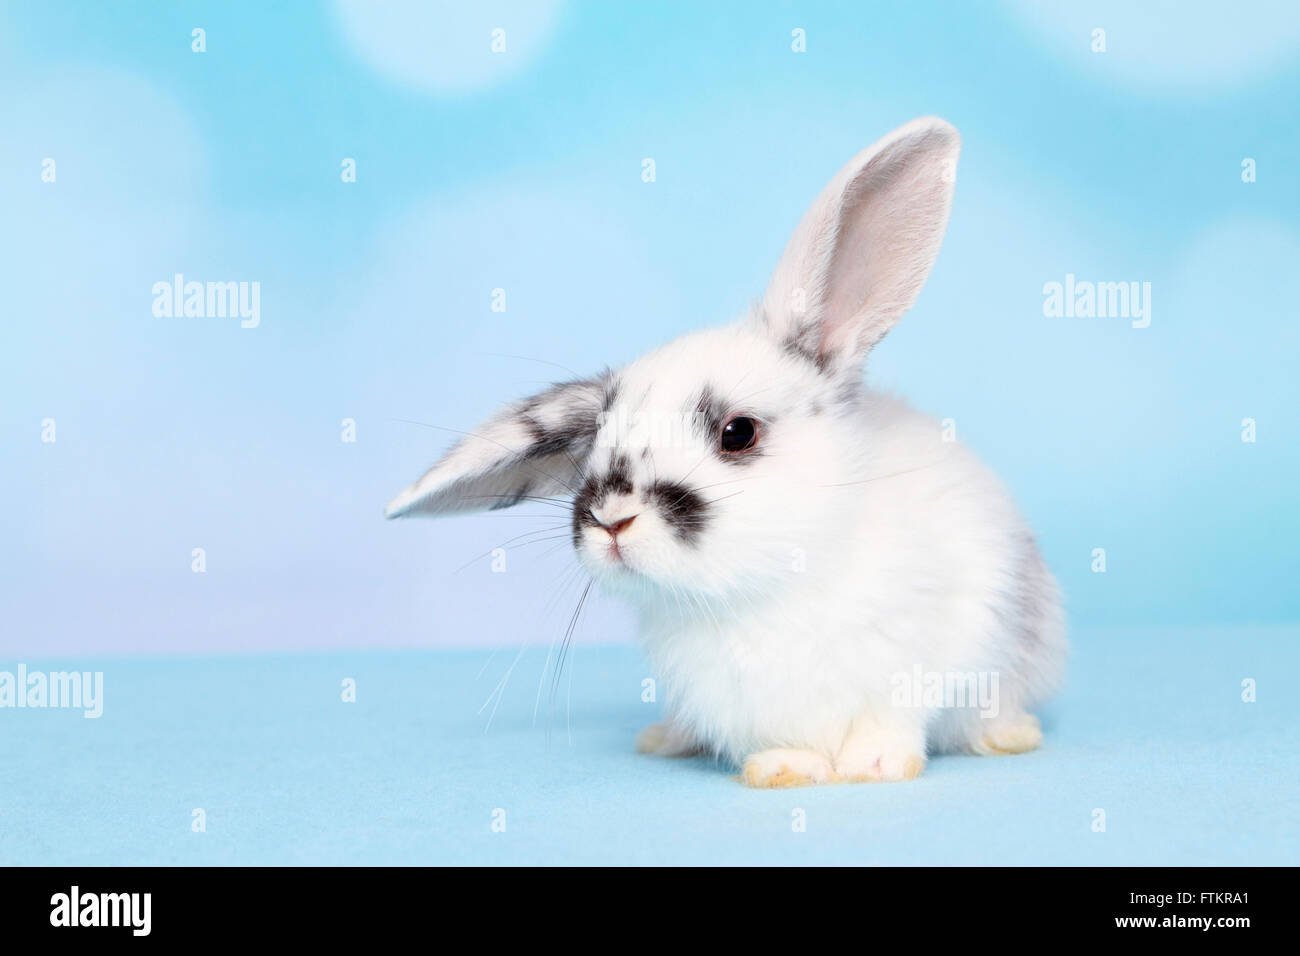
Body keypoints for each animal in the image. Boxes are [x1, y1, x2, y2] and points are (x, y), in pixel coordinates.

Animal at [386, 116, 1066, 787]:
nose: (611, 519)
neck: (762, 587)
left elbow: (892, 720)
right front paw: (785, 770)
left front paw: (874, 765)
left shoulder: (934, 647)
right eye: (597, 436)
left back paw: (1010, 735)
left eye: (738, 433)